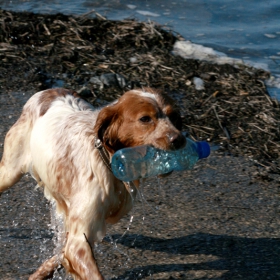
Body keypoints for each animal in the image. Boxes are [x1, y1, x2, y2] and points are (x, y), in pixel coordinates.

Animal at [0, 88, 186, 280]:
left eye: (174, 117)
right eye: (145, 119)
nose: (179, 139)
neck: (110, 164)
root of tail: (47, 91)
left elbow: (63, 253)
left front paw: (43, 270)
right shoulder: (79, 241)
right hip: (9, 172)